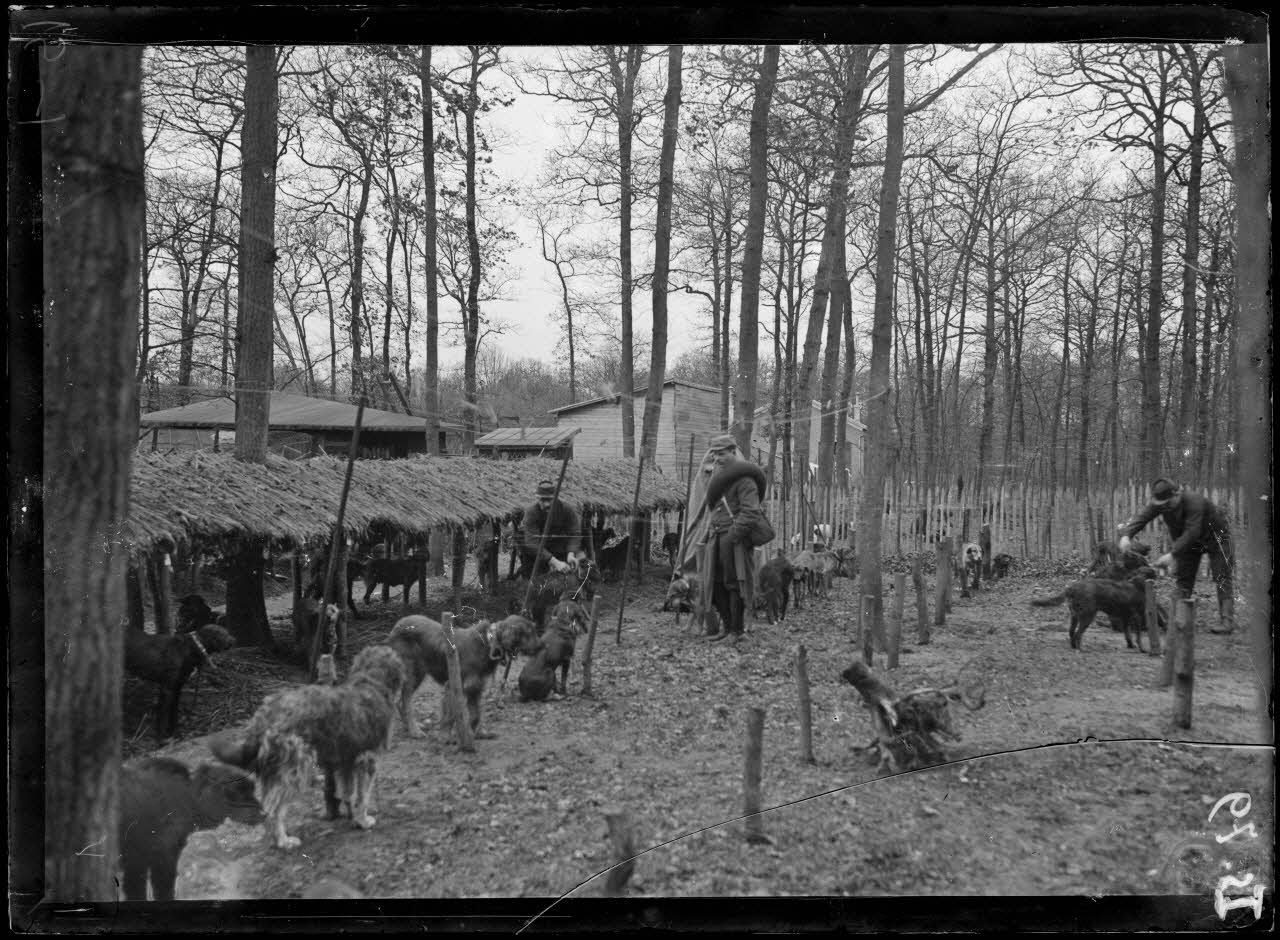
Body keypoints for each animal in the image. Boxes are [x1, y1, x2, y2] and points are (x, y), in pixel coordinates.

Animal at [211, 648, 404, 855]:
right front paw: (363, 820)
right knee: (272, 811)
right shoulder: (367, 760)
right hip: (295, 768)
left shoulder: (346, 761)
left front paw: (352, 817)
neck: (370, 682)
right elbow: (363, 796)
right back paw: (283, 841)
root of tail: (265, 715)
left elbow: (348, 793)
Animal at [378, 619, 540, 742]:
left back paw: (410, 727)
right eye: (528, 633)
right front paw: (445, 736)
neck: (487, 643)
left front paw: (476, 734)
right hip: (414, 672)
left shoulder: (476, 687)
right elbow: (449, 715)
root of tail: (396, 627)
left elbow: (475, 715)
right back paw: (414, 731)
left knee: (400, 702)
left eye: (534, 630)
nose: (541, 645)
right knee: (405, 702)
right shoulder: (452, 686)